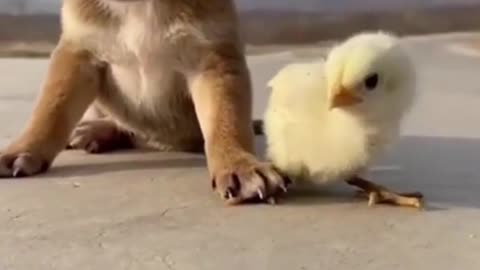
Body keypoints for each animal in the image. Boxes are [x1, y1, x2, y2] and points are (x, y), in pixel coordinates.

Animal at [0, 0, 288, 205]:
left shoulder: (213, 60)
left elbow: (226, 120)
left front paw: (239, 164)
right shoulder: (79, 53)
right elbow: (51, 110)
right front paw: (21, 150)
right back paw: (96, 131)